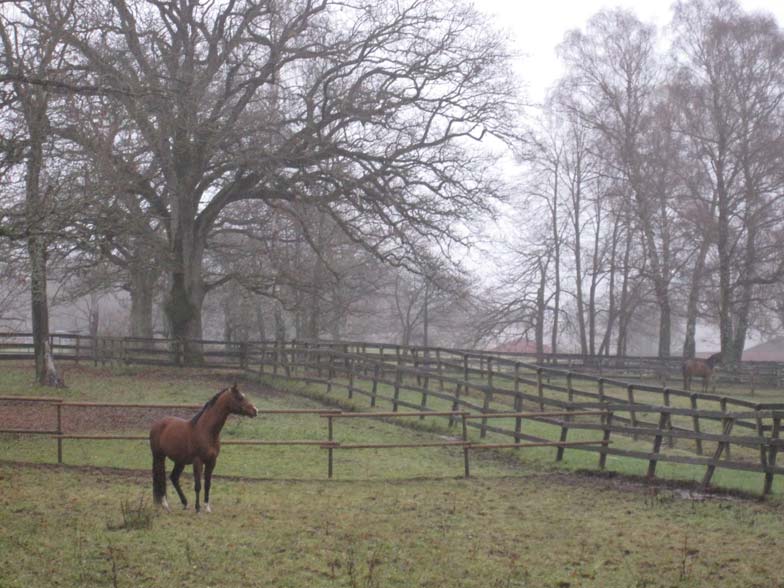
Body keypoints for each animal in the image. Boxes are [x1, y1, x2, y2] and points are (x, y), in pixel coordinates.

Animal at [148, 384, 258, 512]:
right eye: (239, 397)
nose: (255, 410)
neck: (206, 430)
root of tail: (157, 424)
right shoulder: (198, 461)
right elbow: (198, 485)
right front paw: (198, 508)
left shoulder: (212, 461)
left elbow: (207, 484)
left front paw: (207, 507)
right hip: (159, 456)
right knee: (161, 478)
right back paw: (165, 504)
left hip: (180, 461)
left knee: (174, 478)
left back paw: (185, 503)